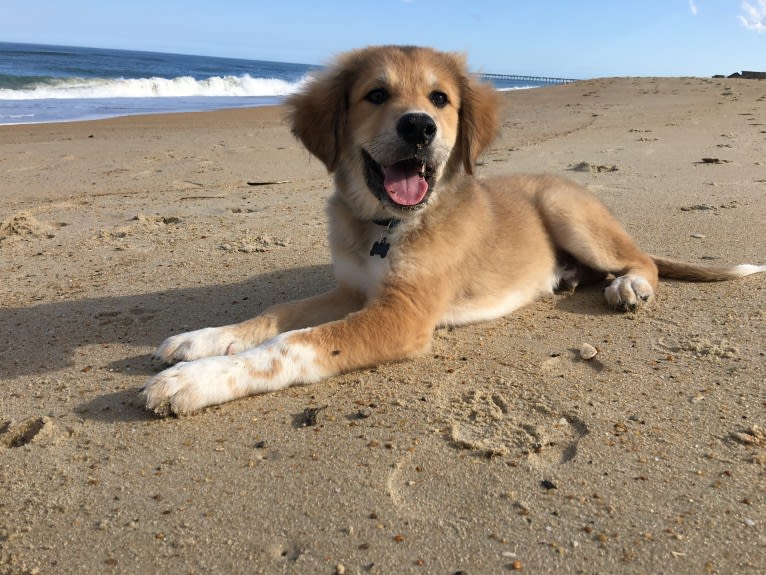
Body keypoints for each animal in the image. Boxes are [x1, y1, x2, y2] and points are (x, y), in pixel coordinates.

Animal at [141, 45, 764, 414]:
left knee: (645, 260)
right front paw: (202, 340)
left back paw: (629, 285)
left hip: (567, 210)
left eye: (440, 98)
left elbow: (292, 345)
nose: (419, 127)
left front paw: (196, 379)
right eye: (375, 95)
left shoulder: (404, 315)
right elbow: (275, 316)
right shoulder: (350, 289)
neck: (386, 226)